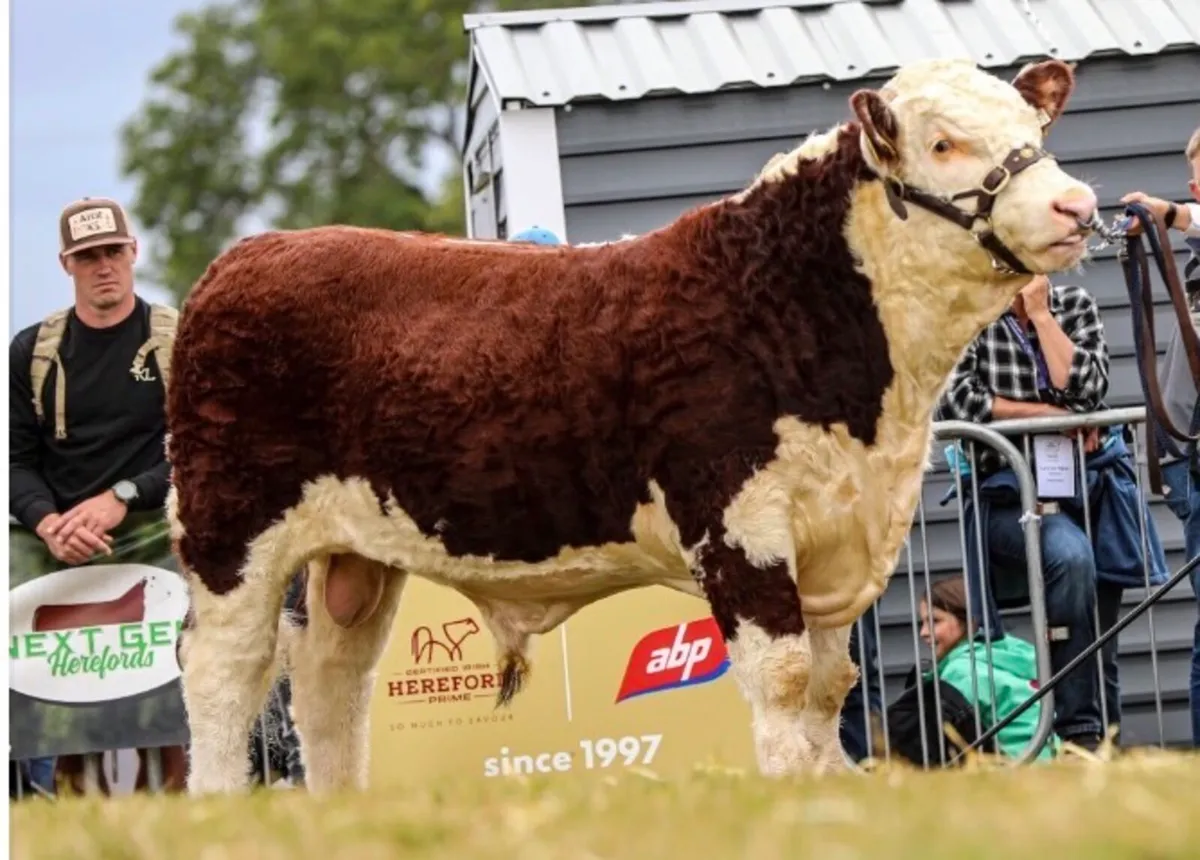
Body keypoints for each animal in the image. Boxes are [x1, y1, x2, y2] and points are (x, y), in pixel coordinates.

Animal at [166, 56, 1099, 795]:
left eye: (1031, 126)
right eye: (943, 144)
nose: (1076, 204)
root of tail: (247, 255)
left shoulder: (841, 537)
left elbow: (832, 684)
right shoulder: (739, 523)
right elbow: (785, 678)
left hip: (354, 557)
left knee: (333, 686)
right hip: (231, 528)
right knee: (225, 674)